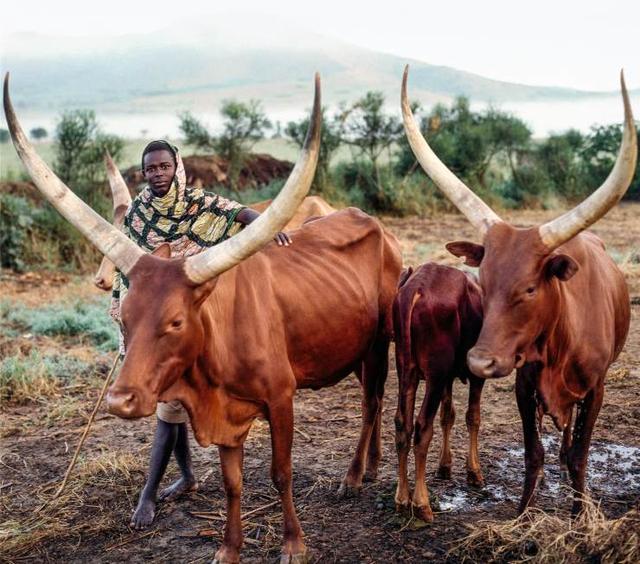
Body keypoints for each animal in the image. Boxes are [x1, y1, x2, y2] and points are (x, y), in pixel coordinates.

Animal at [5, 76, 402, 564]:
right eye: (125, 318)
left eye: (176, 321)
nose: (119, 400)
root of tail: (373, 223)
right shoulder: (226, 416)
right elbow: (233, 484)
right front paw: (228, 548)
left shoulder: (281, 399)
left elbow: (281, 473)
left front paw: (293, 544)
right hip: (355, 347)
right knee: (371, 400)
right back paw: (371, 468)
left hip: (380, 342)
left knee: (371, 404)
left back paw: (352, 477)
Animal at [392, 262, 482, 524]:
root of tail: (416, 286)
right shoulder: (474, 375)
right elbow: (472, 417)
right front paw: (474, 471)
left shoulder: (448, 379)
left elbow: (447, 416)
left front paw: (445, 465)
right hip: (435, 374)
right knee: (422, 428)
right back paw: (421, 503)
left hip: (407, 371)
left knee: (402, 425)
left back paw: (402, 498)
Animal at [402, 67, 636, 516]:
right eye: (483, 280)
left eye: (530, 288)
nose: (480, 360)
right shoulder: (524, 385)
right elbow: (532, 453)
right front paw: (523, 512)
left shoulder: (597, 389)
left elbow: (580, 453)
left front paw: (580, 512)